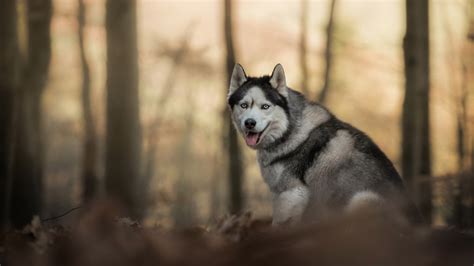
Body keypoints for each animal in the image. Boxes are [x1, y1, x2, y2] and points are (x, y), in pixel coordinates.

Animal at [228, 63, 420, 225]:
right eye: (244, 105)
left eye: (265, 107)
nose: (249, 123)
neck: (289, 131)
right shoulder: (279, 194)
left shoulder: (293, 193)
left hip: (361, 201)